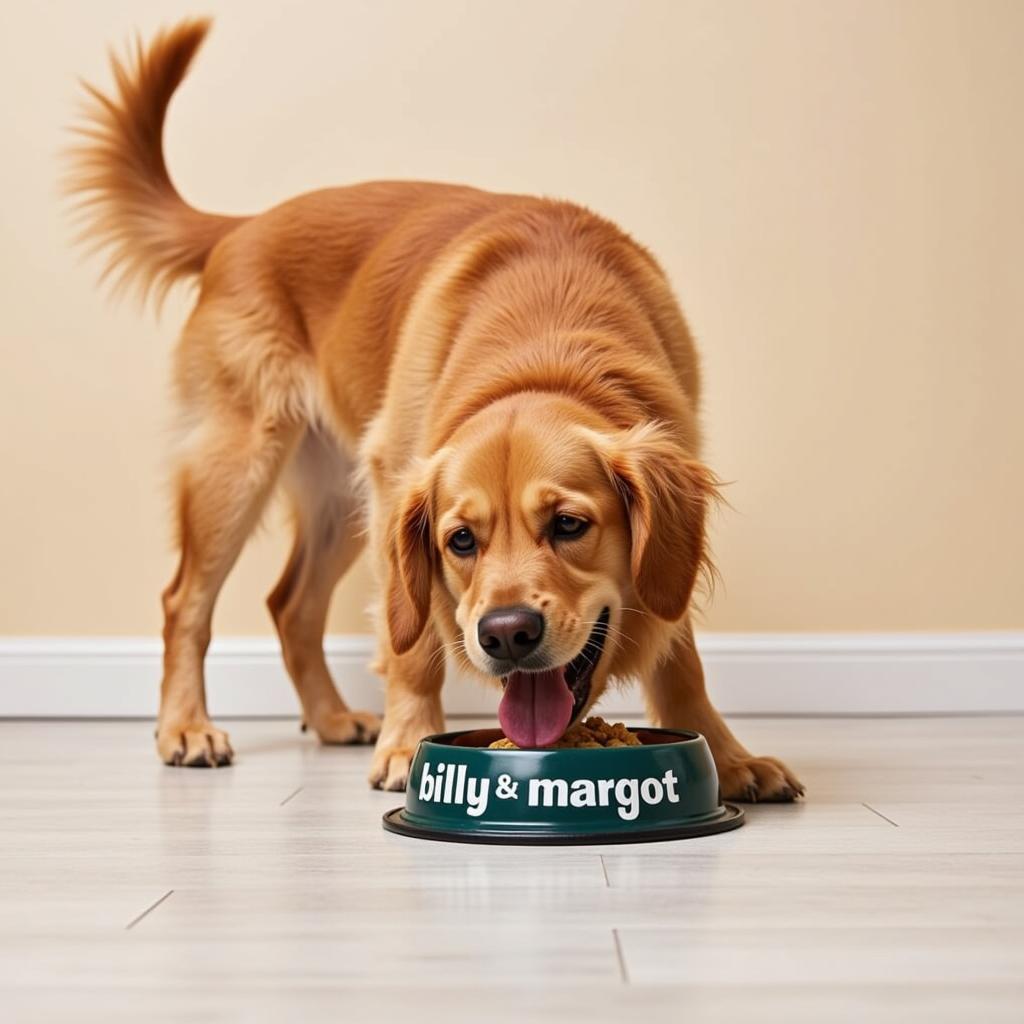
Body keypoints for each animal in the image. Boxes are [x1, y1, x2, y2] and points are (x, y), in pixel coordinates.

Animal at [68, 16, 802, 798]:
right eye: (460, 541)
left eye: (570, 525)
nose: (506, 634)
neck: (546, 347)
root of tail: (243, 226)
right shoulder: (400, 493)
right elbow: (411, 639)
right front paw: (408, 742)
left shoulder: (672, 520)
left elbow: (679, 647)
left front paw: (727, 757)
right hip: (240, 467)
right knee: (184, 603)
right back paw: (185, 726)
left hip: (341, 501)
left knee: (291, 606)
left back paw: (330, 718)